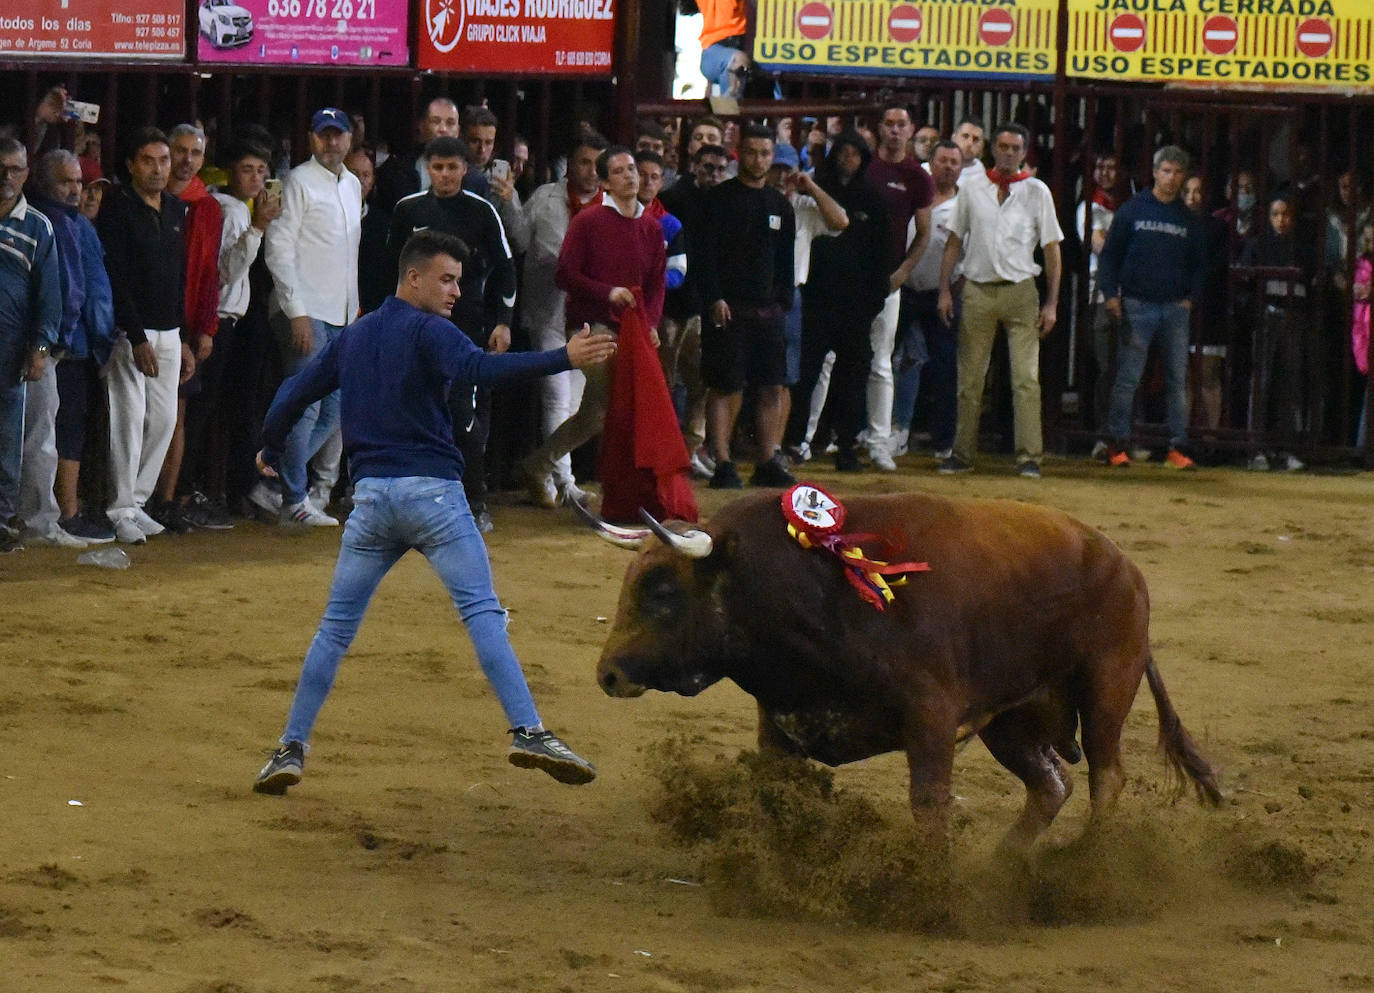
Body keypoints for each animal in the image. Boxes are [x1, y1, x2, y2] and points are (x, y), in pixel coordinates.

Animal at [579, 488, 1225, 857]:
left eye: (663, 591)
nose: (607, 674)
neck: (816, 590)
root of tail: (1126, 567)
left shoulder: (931, 719)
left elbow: (928, 802)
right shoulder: (780, 728)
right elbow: (774, 795)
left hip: (1107, 685)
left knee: (1106, 778)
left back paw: (1086, 864)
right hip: (1011, 720)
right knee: (1051, 784)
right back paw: (1006, 863)